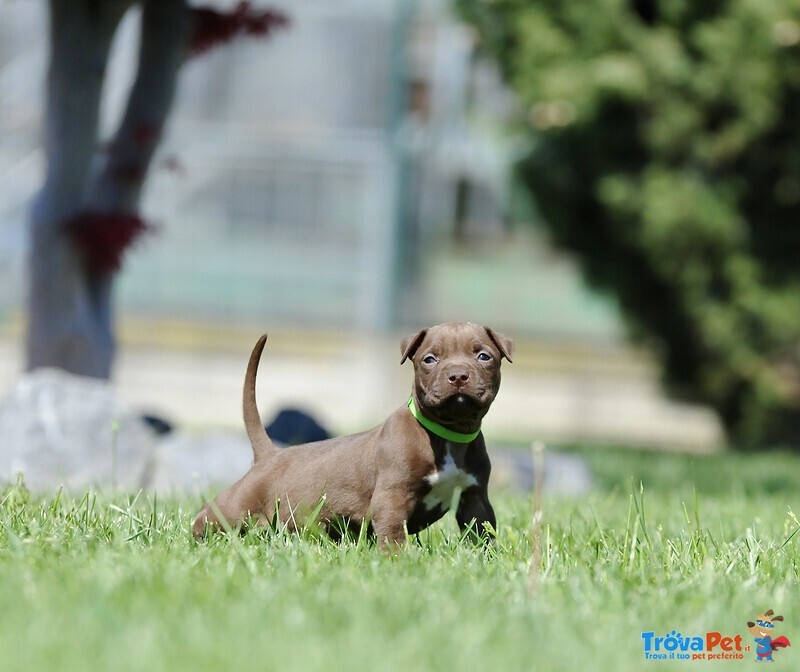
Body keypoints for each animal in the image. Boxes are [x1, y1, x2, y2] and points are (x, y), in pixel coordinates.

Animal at [194, 320, 512, 544]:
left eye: (484, 356)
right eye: (430, 359)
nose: (458, 375)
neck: (449, 435)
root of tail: (269, 455)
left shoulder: (475, 499)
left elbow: (484, 532)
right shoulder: (391, 497)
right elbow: (393, 534)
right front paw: (397, 563)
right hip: (235, 507)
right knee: (209, 518)